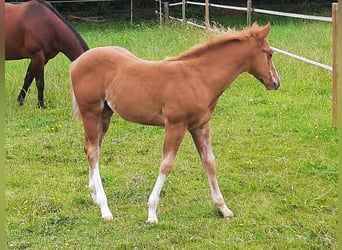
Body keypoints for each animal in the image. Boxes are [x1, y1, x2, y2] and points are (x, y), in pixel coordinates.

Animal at [69, 22, 280, 222]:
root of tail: (77, 62)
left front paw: (223, 208)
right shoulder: (176, 125)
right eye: (269, 54)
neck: (199, 78)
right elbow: (166, 164)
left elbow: (209, 162)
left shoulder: (200, 126)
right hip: (90, 112)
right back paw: (104, 208)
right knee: (93, 152)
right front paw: (152, 213)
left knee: (92, 147)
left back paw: (94, 195)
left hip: (105, 114)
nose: (276, 82)